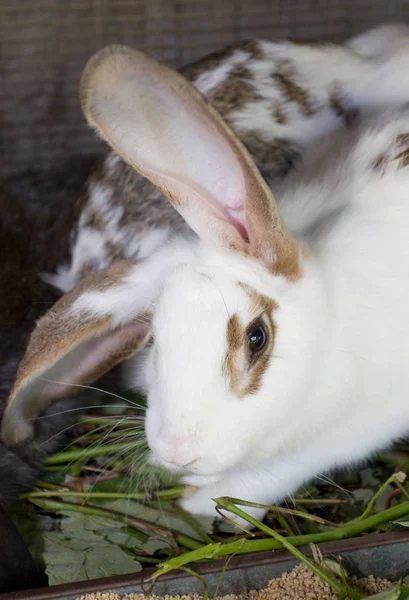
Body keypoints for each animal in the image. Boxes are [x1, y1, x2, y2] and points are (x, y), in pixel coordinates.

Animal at [5, 28, 409, 524]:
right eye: (155, 342)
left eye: (257, 338)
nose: (179, 452)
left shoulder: (349, 432)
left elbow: (277, 472)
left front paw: (204, 502)